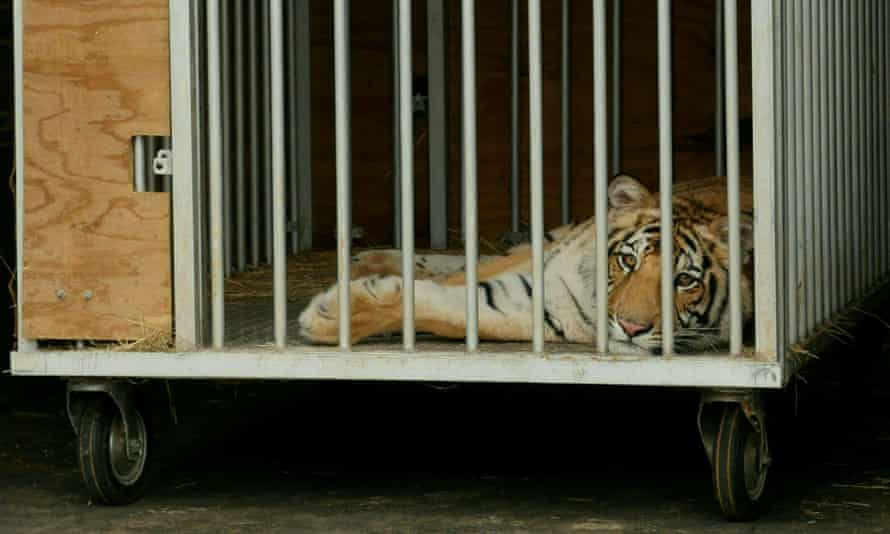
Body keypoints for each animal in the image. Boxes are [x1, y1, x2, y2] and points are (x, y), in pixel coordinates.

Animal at [296, 174, 748, 356]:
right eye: (627, 260)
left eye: (684, 280)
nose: (632, 327)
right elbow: (461, 280)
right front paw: (331, 314)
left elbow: (455, 307)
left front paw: (331, 315)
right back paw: (366, 260)